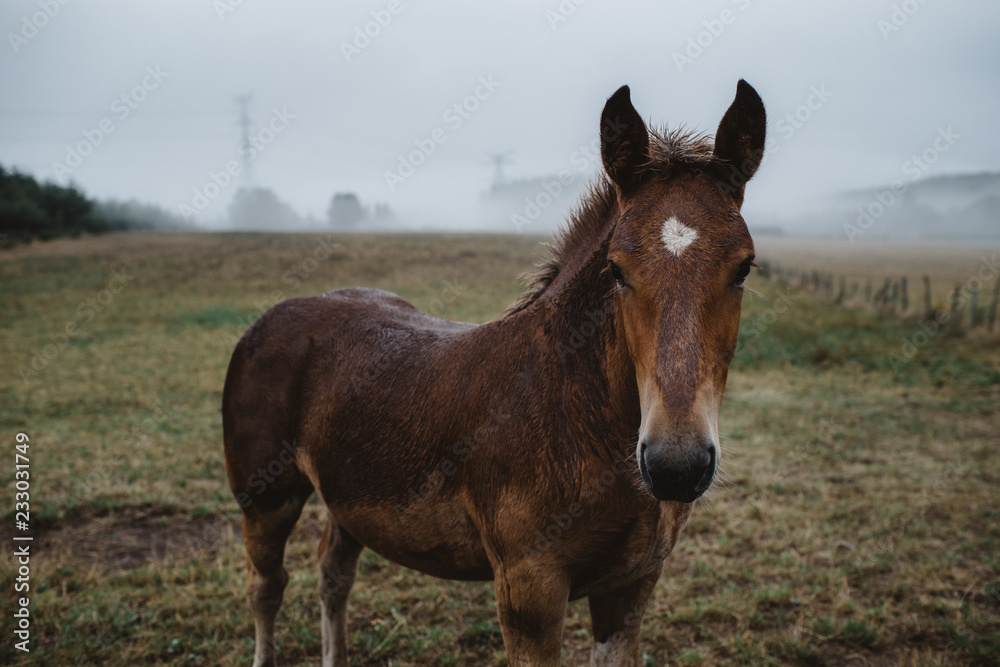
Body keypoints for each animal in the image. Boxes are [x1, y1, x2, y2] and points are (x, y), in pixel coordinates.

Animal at [225, 81, 764, 664]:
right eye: (617, 269)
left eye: (744, 267)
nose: (676, 466)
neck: (571, 409)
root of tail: (271, 318)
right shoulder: (528, 592)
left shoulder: (631, 586)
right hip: (266, 500)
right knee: (266, 587)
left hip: (348, 492)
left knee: (333, 574)